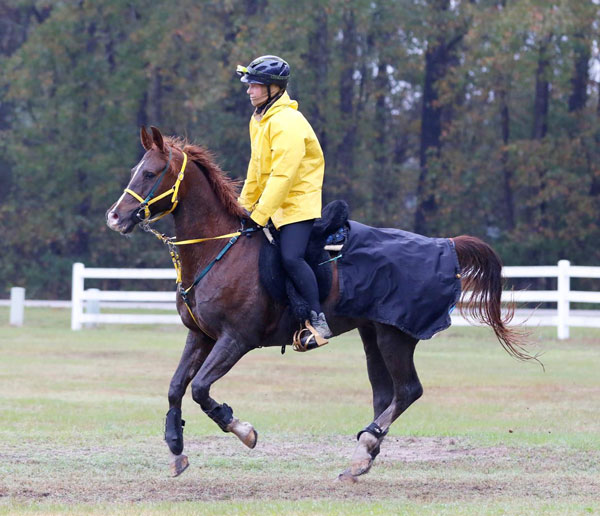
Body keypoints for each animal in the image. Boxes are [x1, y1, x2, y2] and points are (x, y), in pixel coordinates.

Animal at [105, 125, 532, 480]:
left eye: (151, 173)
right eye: (135, 169)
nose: (115, 217)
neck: (219, 248)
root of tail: (444, 245)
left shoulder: (235, 340)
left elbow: (200, 389)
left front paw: (243, 430)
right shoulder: (201, 336)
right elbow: (176, 387)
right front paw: (176, 448)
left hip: (395, 335)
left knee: (408, 391)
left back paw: (367, 444)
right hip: (372, 334)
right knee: (386, 393)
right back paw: (362, 457)